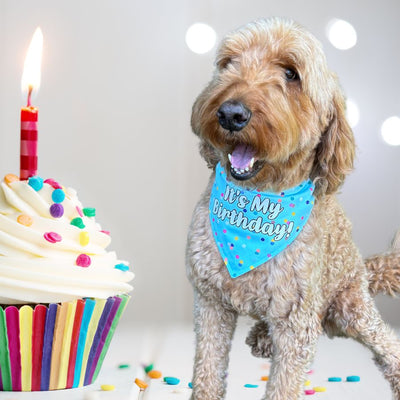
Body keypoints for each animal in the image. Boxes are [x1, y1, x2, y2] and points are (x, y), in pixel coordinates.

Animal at [186, 18, 400, 400]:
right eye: (228, 63)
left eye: (291, 73)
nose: (230, 113)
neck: (258, 201)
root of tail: (363, 269)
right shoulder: (210, 303)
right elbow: (207, 369)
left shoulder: (296, 324)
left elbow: (284, 384)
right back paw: (262, 335)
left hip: (351, 307)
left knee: (385, 340)